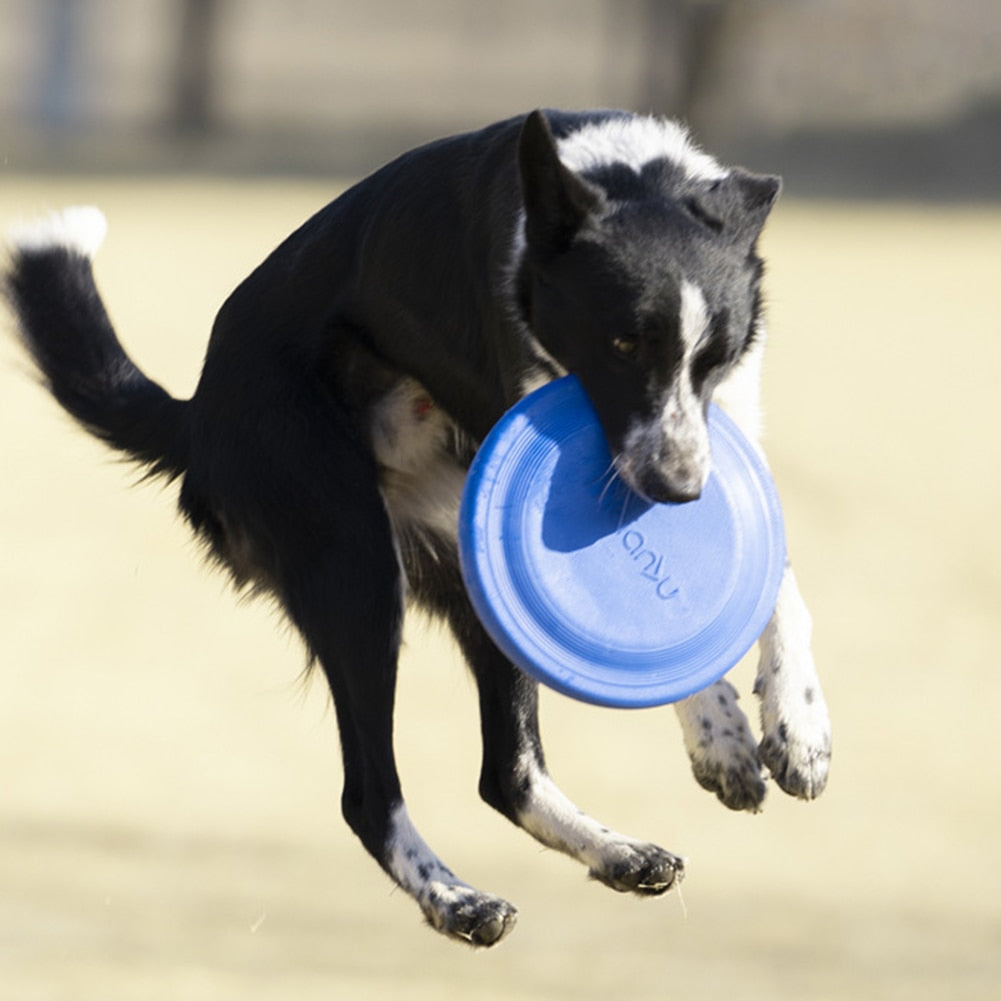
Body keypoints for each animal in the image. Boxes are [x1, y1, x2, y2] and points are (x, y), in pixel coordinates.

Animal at [3, 111, 828, 944]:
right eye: (623, 343)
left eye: (715, 354)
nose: (679, 489)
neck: (629, 177)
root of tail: (197, 415)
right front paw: (720, 734)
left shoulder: (722, 431)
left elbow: (780, 592)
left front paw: (794, 724)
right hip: (358, 577)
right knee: (369, 793)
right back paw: (456, 899)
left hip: (469, 581)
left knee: (507, 775)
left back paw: (615, 853)